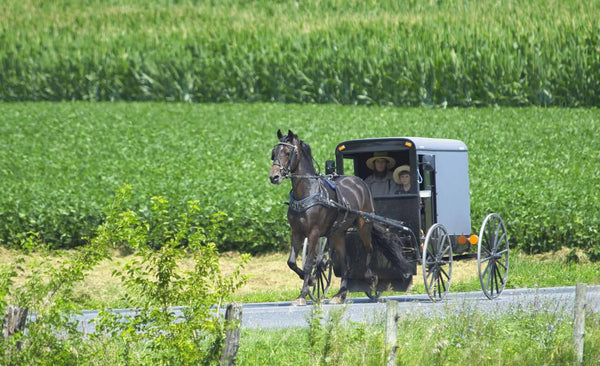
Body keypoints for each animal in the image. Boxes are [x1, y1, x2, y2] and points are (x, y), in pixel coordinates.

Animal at [268, 130, 412, 304]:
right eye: (273, 153)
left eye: (288, 153)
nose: (274, 177)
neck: (308, 192)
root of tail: (359, 183)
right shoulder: (297, 232)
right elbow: (291, 262)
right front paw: (311, 281)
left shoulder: (314, 233)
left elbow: (309, 264)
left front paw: (303, 294)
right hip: (338, 233)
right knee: (345, 262)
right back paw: (340, 294)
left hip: (364, 224)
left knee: (369, 249)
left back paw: (370, 279)